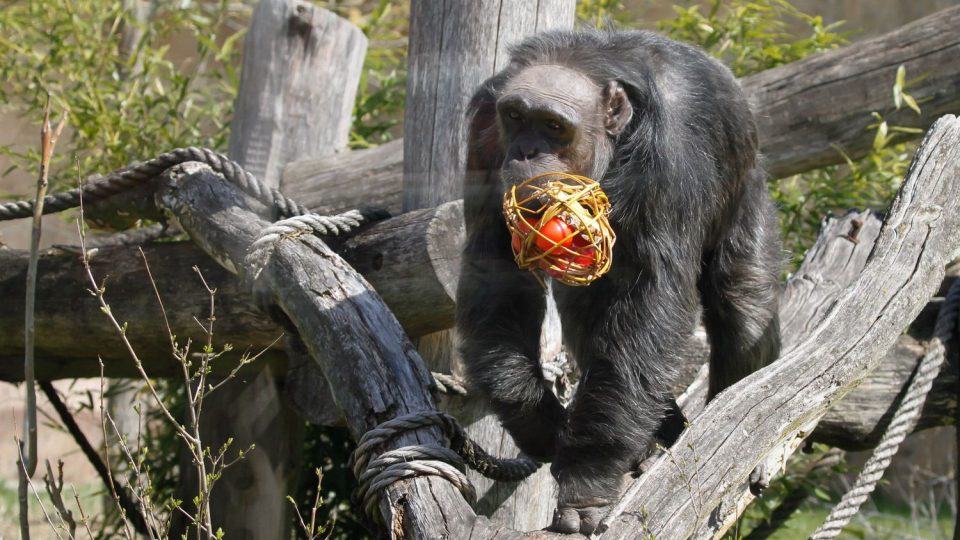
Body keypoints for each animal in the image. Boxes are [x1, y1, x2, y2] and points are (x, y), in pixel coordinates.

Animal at [454, 29, 784, 532]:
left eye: (554, 126)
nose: (527, 152)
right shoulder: (485, 137)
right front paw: (538, 420)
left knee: (742, 301)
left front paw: (589, 478)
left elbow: (645, 298)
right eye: (515, 117)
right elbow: (496, 266)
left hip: (750, 192)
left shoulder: (670, 160)